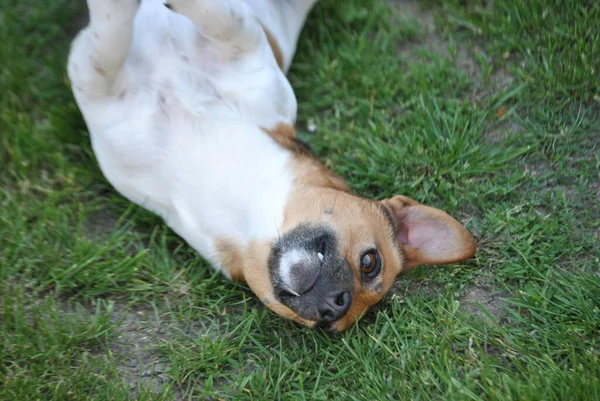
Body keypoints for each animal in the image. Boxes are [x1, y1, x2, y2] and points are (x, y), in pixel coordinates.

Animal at [68, 0, 476, 332]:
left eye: (328, 326)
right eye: (370, 262)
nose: (335, 304)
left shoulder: (93, 79)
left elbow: (111, 36)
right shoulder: (246, 51)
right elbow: (222, 19)